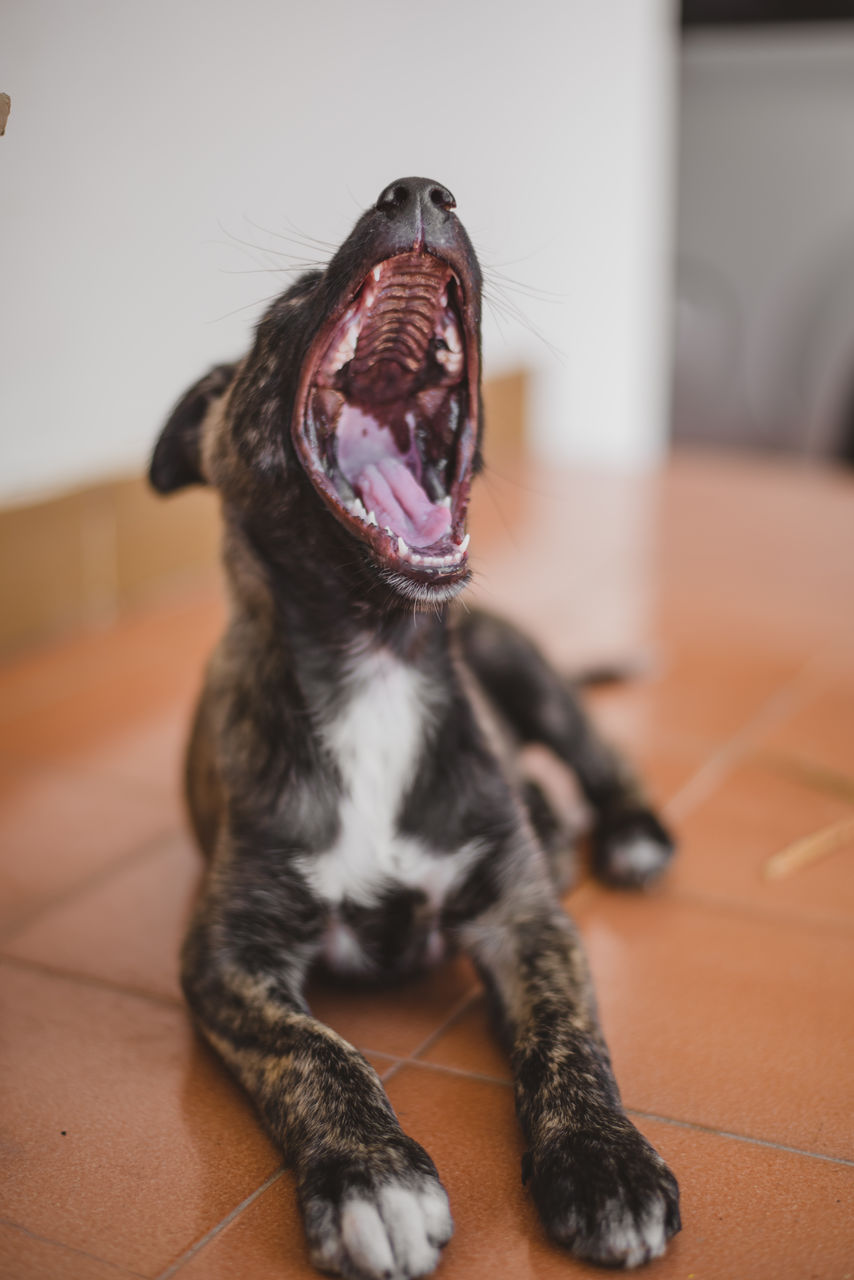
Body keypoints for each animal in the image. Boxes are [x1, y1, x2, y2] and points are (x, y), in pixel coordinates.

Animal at [148, 180, 681, 1280]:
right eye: (289, 305)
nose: (419, 191)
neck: (378, 664)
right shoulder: (225, 956)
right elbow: (317, 1051)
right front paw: (371, 1174)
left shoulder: (524, 918)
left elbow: (570, 1036)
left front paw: (603, 1158)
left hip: (520, 660)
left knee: (597, 755)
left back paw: (627, 833)